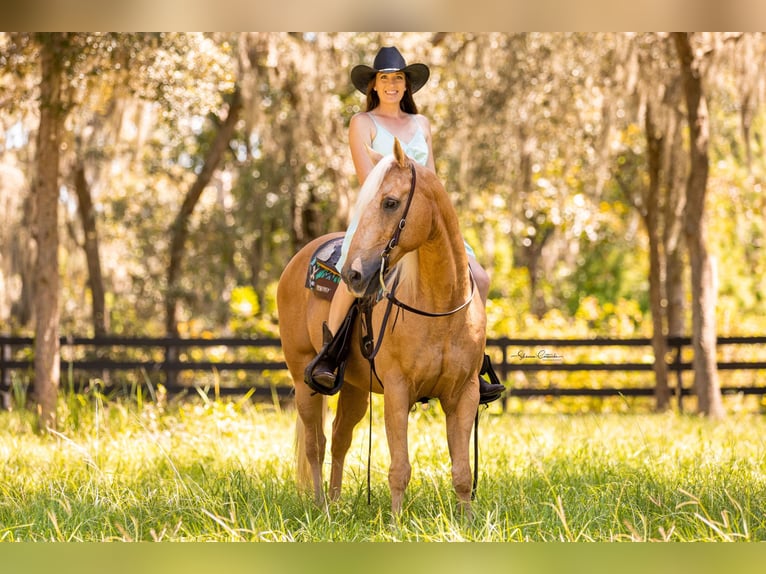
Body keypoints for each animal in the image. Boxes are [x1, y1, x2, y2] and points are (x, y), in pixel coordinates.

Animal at [278, 138, 486, 512]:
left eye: (390, 202)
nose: (353, 274)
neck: (440, 308)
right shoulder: (398, 391)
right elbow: (399, 468)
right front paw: (396, 520)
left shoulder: (464, 394)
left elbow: (462, 471)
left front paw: (468, 520)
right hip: (303, 378)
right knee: (316, 443)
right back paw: (321, 507)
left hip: (354, 387)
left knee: (340, 438)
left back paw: (336, 505)